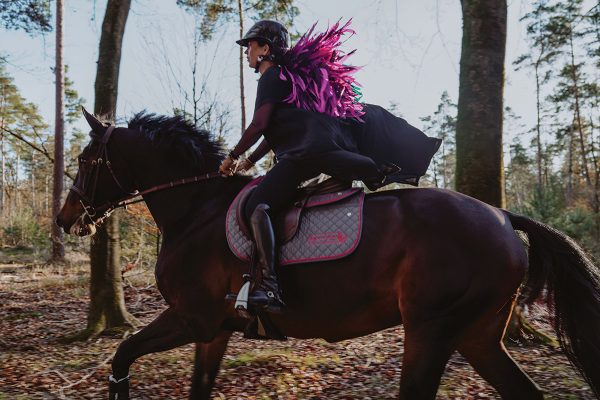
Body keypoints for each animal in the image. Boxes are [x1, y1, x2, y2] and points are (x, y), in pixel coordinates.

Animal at [56, 110, 600, 400]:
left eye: (85, 159)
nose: (65, 218)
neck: (196, 210)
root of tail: (504, 217)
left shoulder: (192, 318)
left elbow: (123, 352)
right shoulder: (215, 330)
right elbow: (197, 387)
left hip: (433, 328)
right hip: (478, 333)